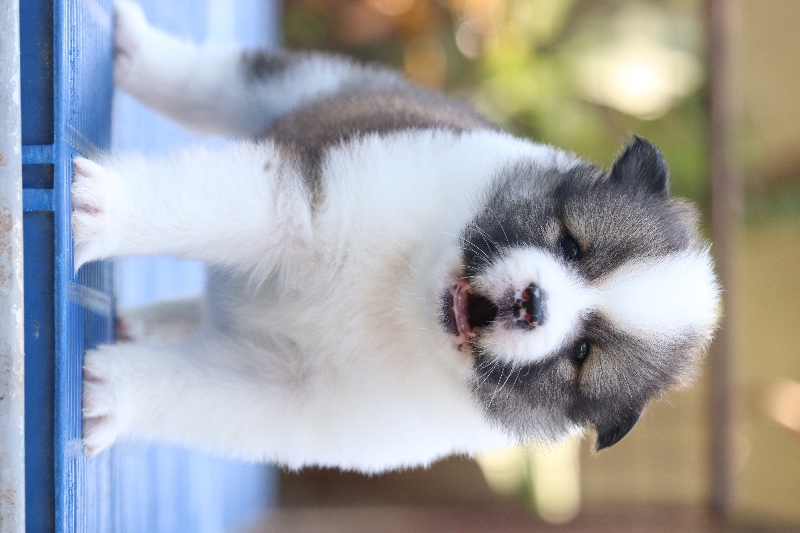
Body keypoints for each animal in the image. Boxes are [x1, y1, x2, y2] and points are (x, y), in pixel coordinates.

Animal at [75, 1, 720, 472]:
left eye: (583, 354)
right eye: (570, 244)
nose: (531, 304)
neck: (401, 300)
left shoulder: (286, 396)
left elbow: (201, 395)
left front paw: (108, 396)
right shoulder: (305, 205)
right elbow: (211, 206)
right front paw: (101, 213)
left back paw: (147, 324)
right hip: (320, 90)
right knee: (216, 84)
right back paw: (135, 52)